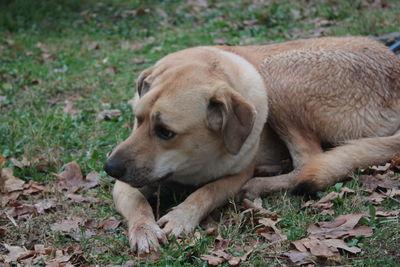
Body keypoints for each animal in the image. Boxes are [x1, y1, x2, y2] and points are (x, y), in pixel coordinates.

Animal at [104, 36, 400, 254]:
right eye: (138, 119)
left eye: (165, 132)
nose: (109, 168)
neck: (192, 162)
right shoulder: (126, 183)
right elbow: (138, 203)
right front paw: (144, 230)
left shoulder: (235, 175)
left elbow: (206, 192)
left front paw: (182, 217)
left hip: (276, 75)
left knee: (308, 163)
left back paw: (260, 183)